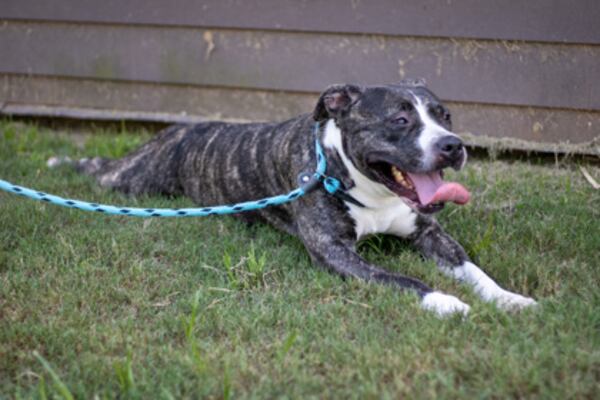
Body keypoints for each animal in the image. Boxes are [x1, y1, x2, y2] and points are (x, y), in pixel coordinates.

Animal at [51, 80, 536, 316]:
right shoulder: (337, 254)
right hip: (134, 180)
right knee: (100, 170)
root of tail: (177, 129)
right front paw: (444, 302)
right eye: (400, 120)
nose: (453, 145)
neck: (370, 188)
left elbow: (473, 269)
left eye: (445, 116)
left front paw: (510, 299)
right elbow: (400, 279)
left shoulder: (430, 233)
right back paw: (61, 162)